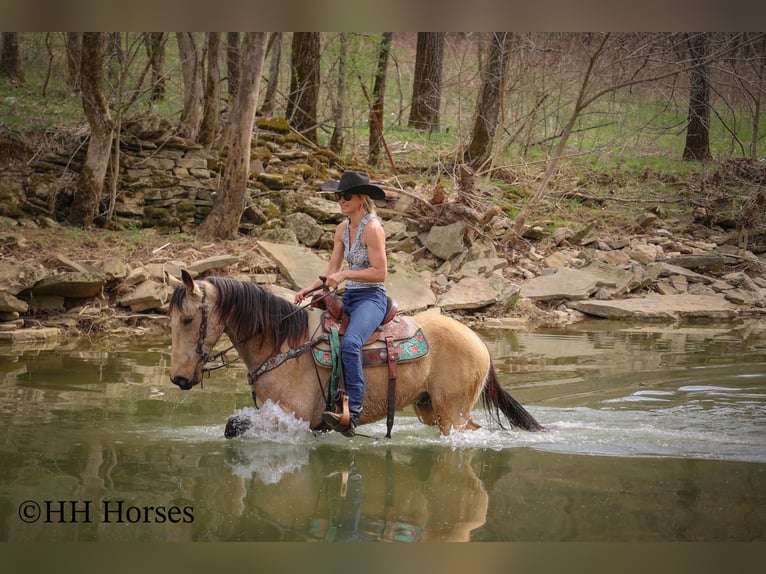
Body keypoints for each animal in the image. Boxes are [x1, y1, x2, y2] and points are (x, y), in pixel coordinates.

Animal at [167, 269, 542, 438]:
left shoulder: (292, 416)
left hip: (454, 413)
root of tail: (477, 341)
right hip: (430, 408)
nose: (179, 379)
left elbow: (234, 425)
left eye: (188, 319)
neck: (282, 345)